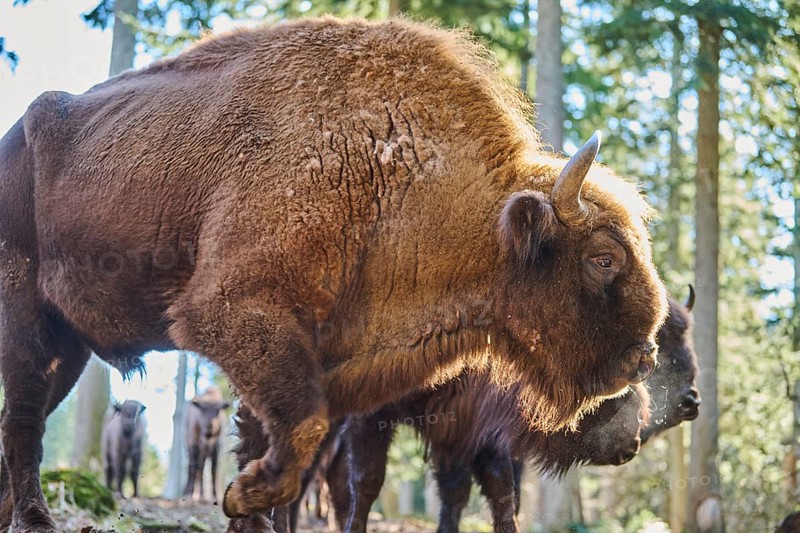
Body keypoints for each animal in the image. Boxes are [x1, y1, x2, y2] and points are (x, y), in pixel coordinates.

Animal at [0, 18, 667, 530]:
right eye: (603, 258)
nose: (645, 359)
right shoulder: (236, 311)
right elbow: (301, 431)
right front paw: (238, 497)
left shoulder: (315, 363)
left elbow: (277, 440)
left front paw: (247, 507)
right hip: (26, 318)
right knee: (25, 419)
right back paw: (35, 518)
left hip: (70, 344)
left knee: (29, 416)